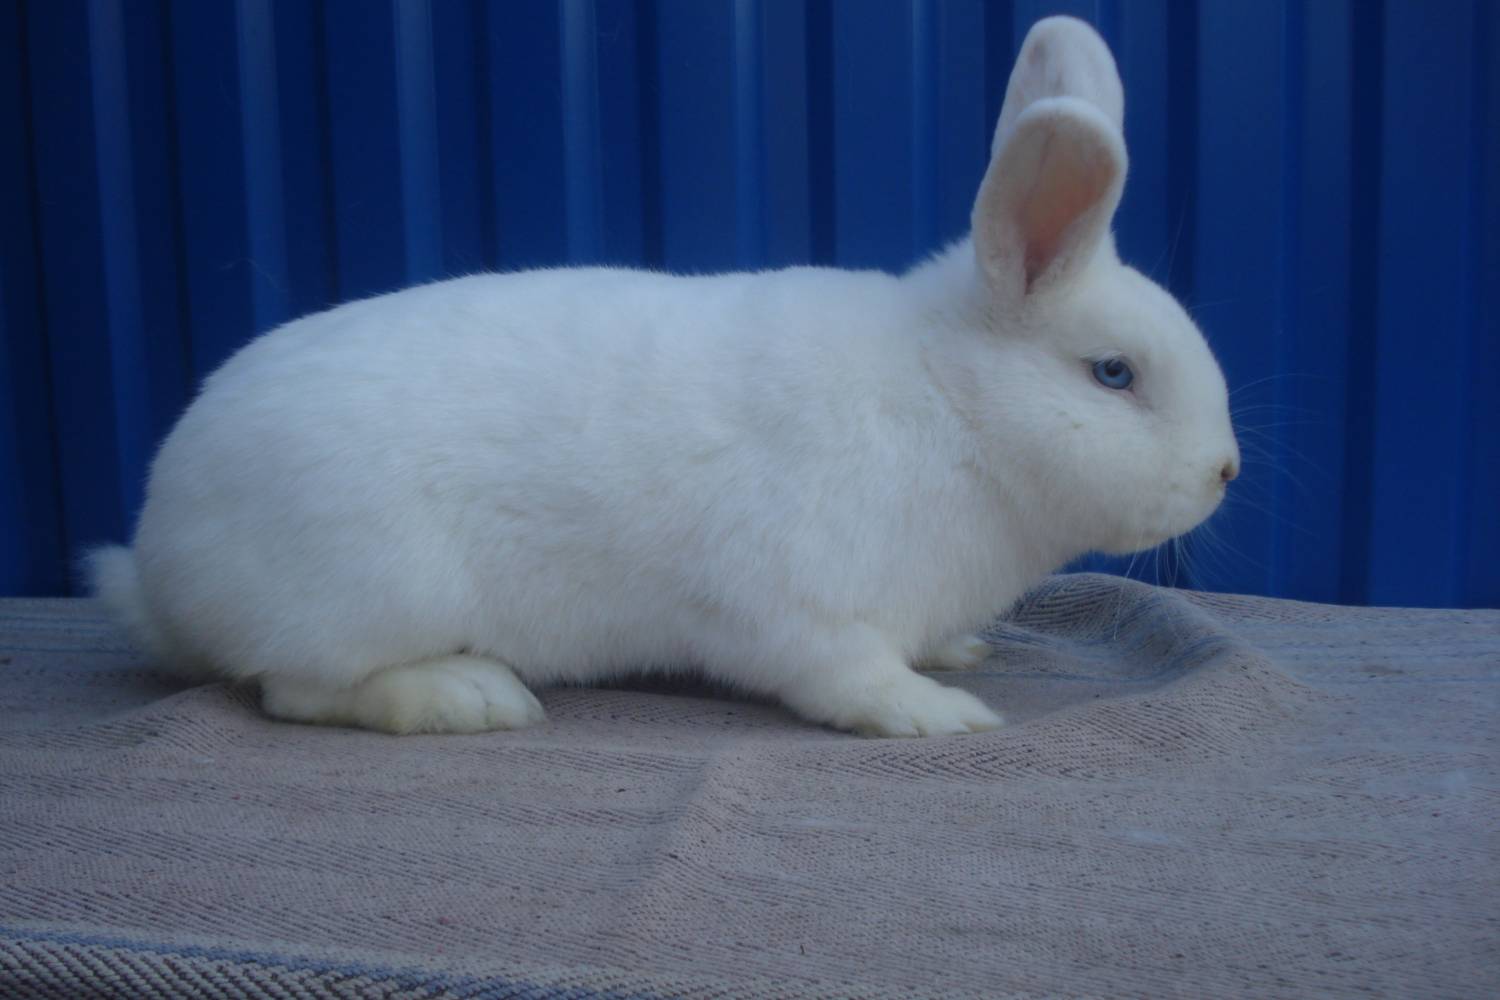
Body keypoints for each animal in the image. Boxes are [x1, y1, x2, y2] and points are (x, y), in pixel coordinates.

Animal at [89, 16, 1238, 738]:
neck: (949, 401)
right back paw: (468, 697)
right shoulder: (802, 605)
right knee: (295, 690)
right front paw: (933, 713)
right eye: (1114, 373)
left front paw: (954, 656)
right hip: (366, 595)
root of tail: (157, 555)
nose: (1224, 471)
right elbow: (845, 675)